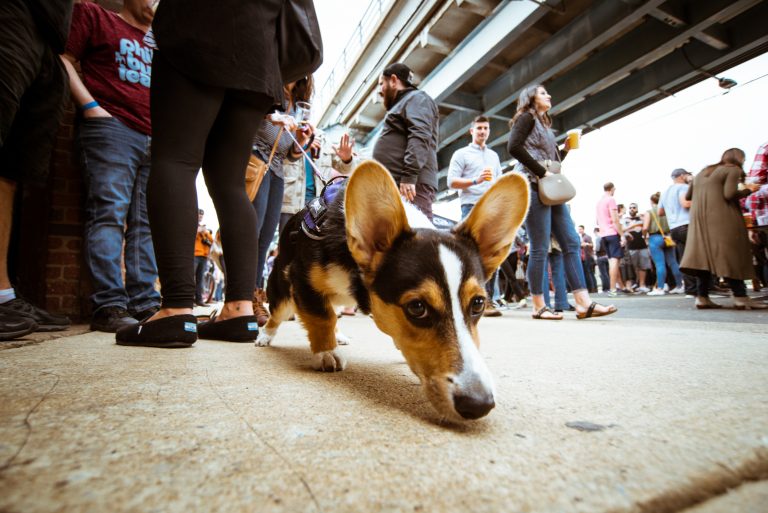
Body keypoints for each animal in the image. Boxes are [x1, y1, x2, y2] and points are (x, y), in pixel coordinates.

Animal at [256, 161, 528, 420]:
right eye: (417, 308)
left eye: (479, 303)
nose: (479, 404)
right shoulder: (302, 280)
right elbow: (322, 318)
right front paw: (326, 353)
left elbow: (328, 315)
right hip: (283, 291)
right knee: (279, 313)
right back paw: (265, 336)